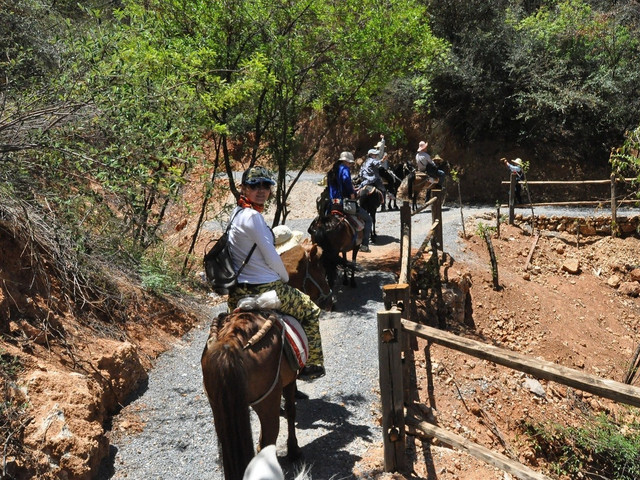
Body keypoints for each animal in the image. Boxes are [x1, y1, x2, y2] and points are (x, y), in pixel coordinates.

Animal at [201, 242, 332, 480]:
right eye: (320, 268)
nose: (331, 300)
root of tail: (230, 344)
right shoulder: (288, 382)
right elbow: (291, 410)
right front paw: (294, 450)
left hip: (219, 409)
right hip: (266, 403)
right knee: (265, 443)